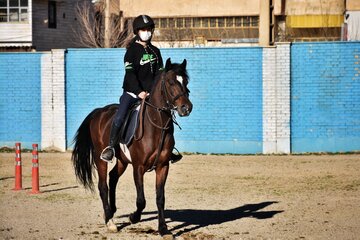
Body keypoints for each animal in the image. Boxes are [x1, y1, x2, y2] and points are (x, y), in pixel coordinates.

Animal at [71, 58, 193, 238]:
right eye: (171, 82)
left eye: (186, 81)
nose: (186, 108)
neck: (156, 125)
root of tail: (99, 112)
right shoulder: (138, 167)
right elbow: (141, 200)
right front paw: (133, 217)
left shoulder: (163, 166)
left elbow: (160, 198)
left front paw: (163, 229)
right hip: (101, 158)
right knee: (103, 186)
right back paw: (110, 221)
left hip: (122, 160)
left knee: (113, 177)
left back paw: (112, 210)